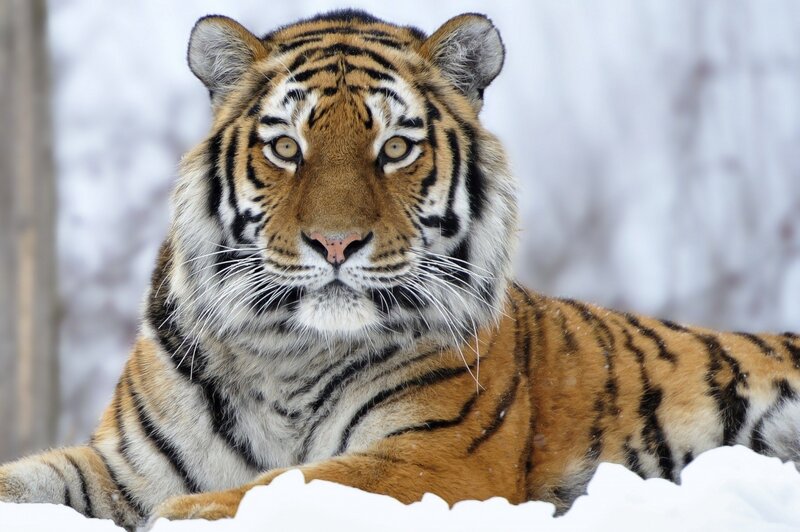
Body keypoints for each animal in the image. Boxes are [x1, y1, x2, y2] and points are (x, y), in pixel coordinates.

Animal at [1, 9, 799, 530]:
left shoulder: (433, 454)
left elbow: (289, 481)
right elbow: (32, 477)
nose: (335, 244)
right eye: (286, 147)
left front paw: (185, 517)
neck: (286, 351)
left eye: (394, 149)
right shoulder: (128, 466)